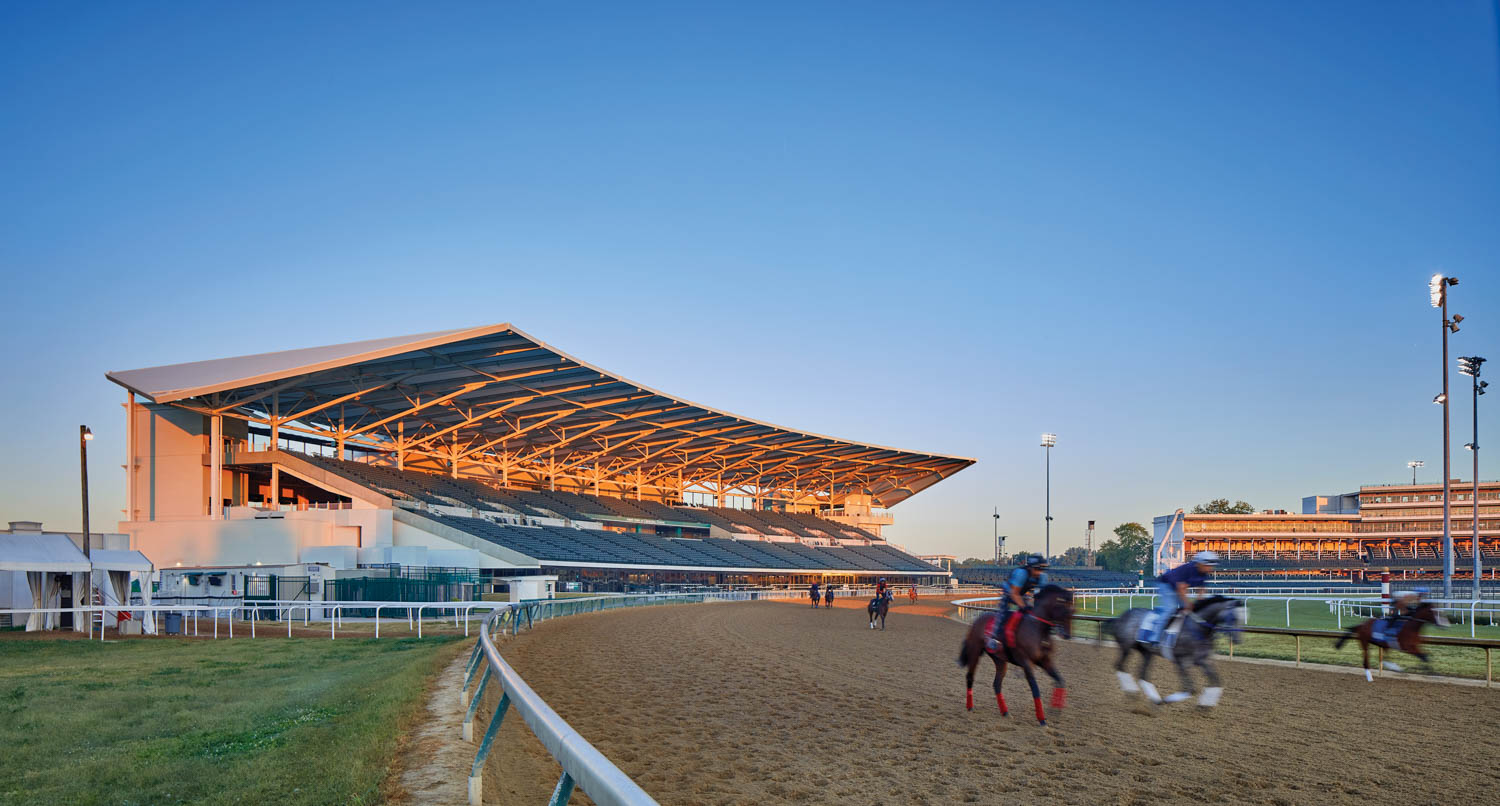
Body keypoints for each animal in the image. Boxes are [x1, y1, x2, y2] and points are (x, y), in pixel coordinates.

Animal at [954, 582, 1074, 726]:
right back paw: (970, 707)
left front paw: (1055, 710)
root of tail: (976, 622)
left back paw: (1005, 712)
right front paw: (1042, 719)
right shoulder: (1026, 662)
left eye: (1073, 611)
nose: (1067, 635)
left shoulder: (1045, 660)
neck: (1037, 628)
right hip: (974, 652)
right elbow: (1035, 689)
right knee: (970, 677)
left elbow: (1060, 680)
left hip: (999, 659)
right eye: (1065, 610)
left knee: (997, 684)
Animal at [1110, 594, 1248, 708]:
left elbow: (1217, 681)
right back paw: (1132, 692)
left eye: (1243, 618)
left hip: (1146, 652)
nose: (1238, 640)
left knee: (1142, 674)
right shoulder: (1181, 661)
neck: (1198, 629)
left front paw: (1205, 705)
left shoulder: (1203, 660)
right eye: (1234, 617)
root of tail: (1122, 616)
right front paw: (1167, 700)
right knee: (1119, 665)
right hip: (1126, 647)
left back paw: (1155, 699)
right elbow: (1191, 688)